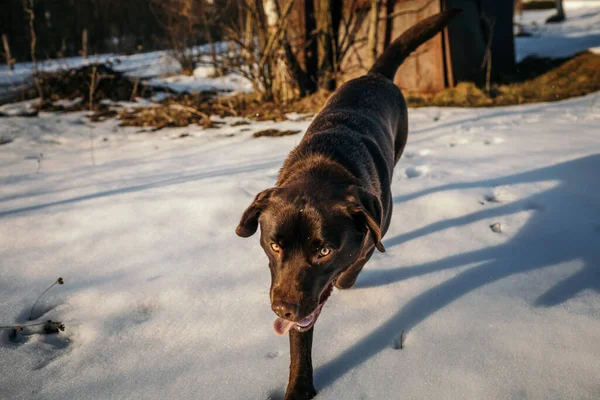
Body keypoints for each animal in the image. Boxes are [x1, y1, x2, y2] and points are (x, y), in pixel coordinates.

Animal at [238, 10, 460, 400]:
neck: (324, 164)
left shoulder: (374, 227)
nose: (282, 308)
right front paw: (299, 387)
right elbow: (300, 342)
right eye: (274, 245)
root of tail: (374, 75)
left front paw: (345, 278)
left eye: (325, 251)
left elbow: (356, 263)